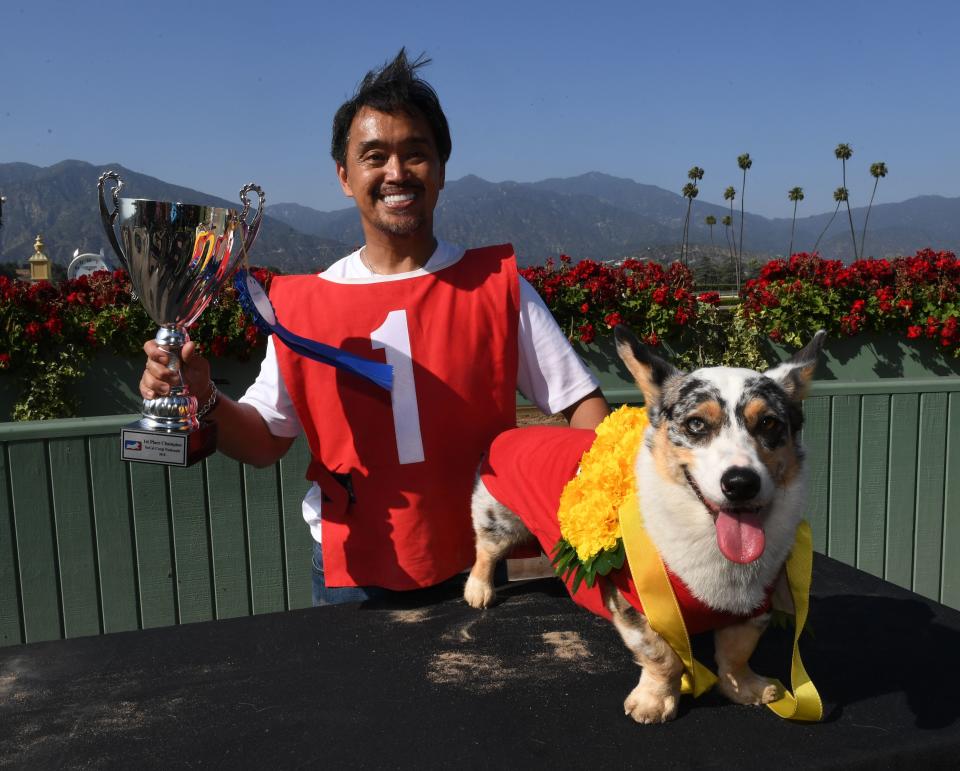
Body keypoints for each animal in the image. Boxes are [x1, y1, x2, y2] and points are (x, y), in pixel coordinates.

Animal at [464, 324, 824, 724]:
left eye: (769, 423)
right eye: (696, 424)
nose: (741, 483)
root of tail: (513, 431)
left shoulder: (751, 607)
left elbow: (736, 652)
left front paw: (746, 689)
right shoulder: (636, 604)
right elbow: (661, 657)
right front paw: (654, 702)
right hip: (498, 519)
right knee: (485, 551)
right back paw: (478, 590)